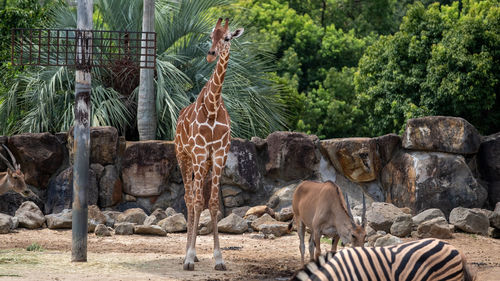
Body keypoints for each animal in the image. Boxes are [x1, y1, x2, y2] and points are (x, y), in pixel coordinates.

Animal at [174, 17, 244, 270]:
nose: (211, 54)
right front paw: (188, 258)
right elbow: (196, 202)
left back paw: (193, 254)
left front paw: (219, 259)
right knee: (188, 198)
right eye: (210, 36)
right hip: (184, 157)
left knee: (197, 198)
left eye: (227, 38)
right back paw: (187, 254)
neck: (212, 108)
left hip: (203, 164)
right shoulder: (198, 152)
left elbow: (212, 203)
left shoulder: (219, 155)